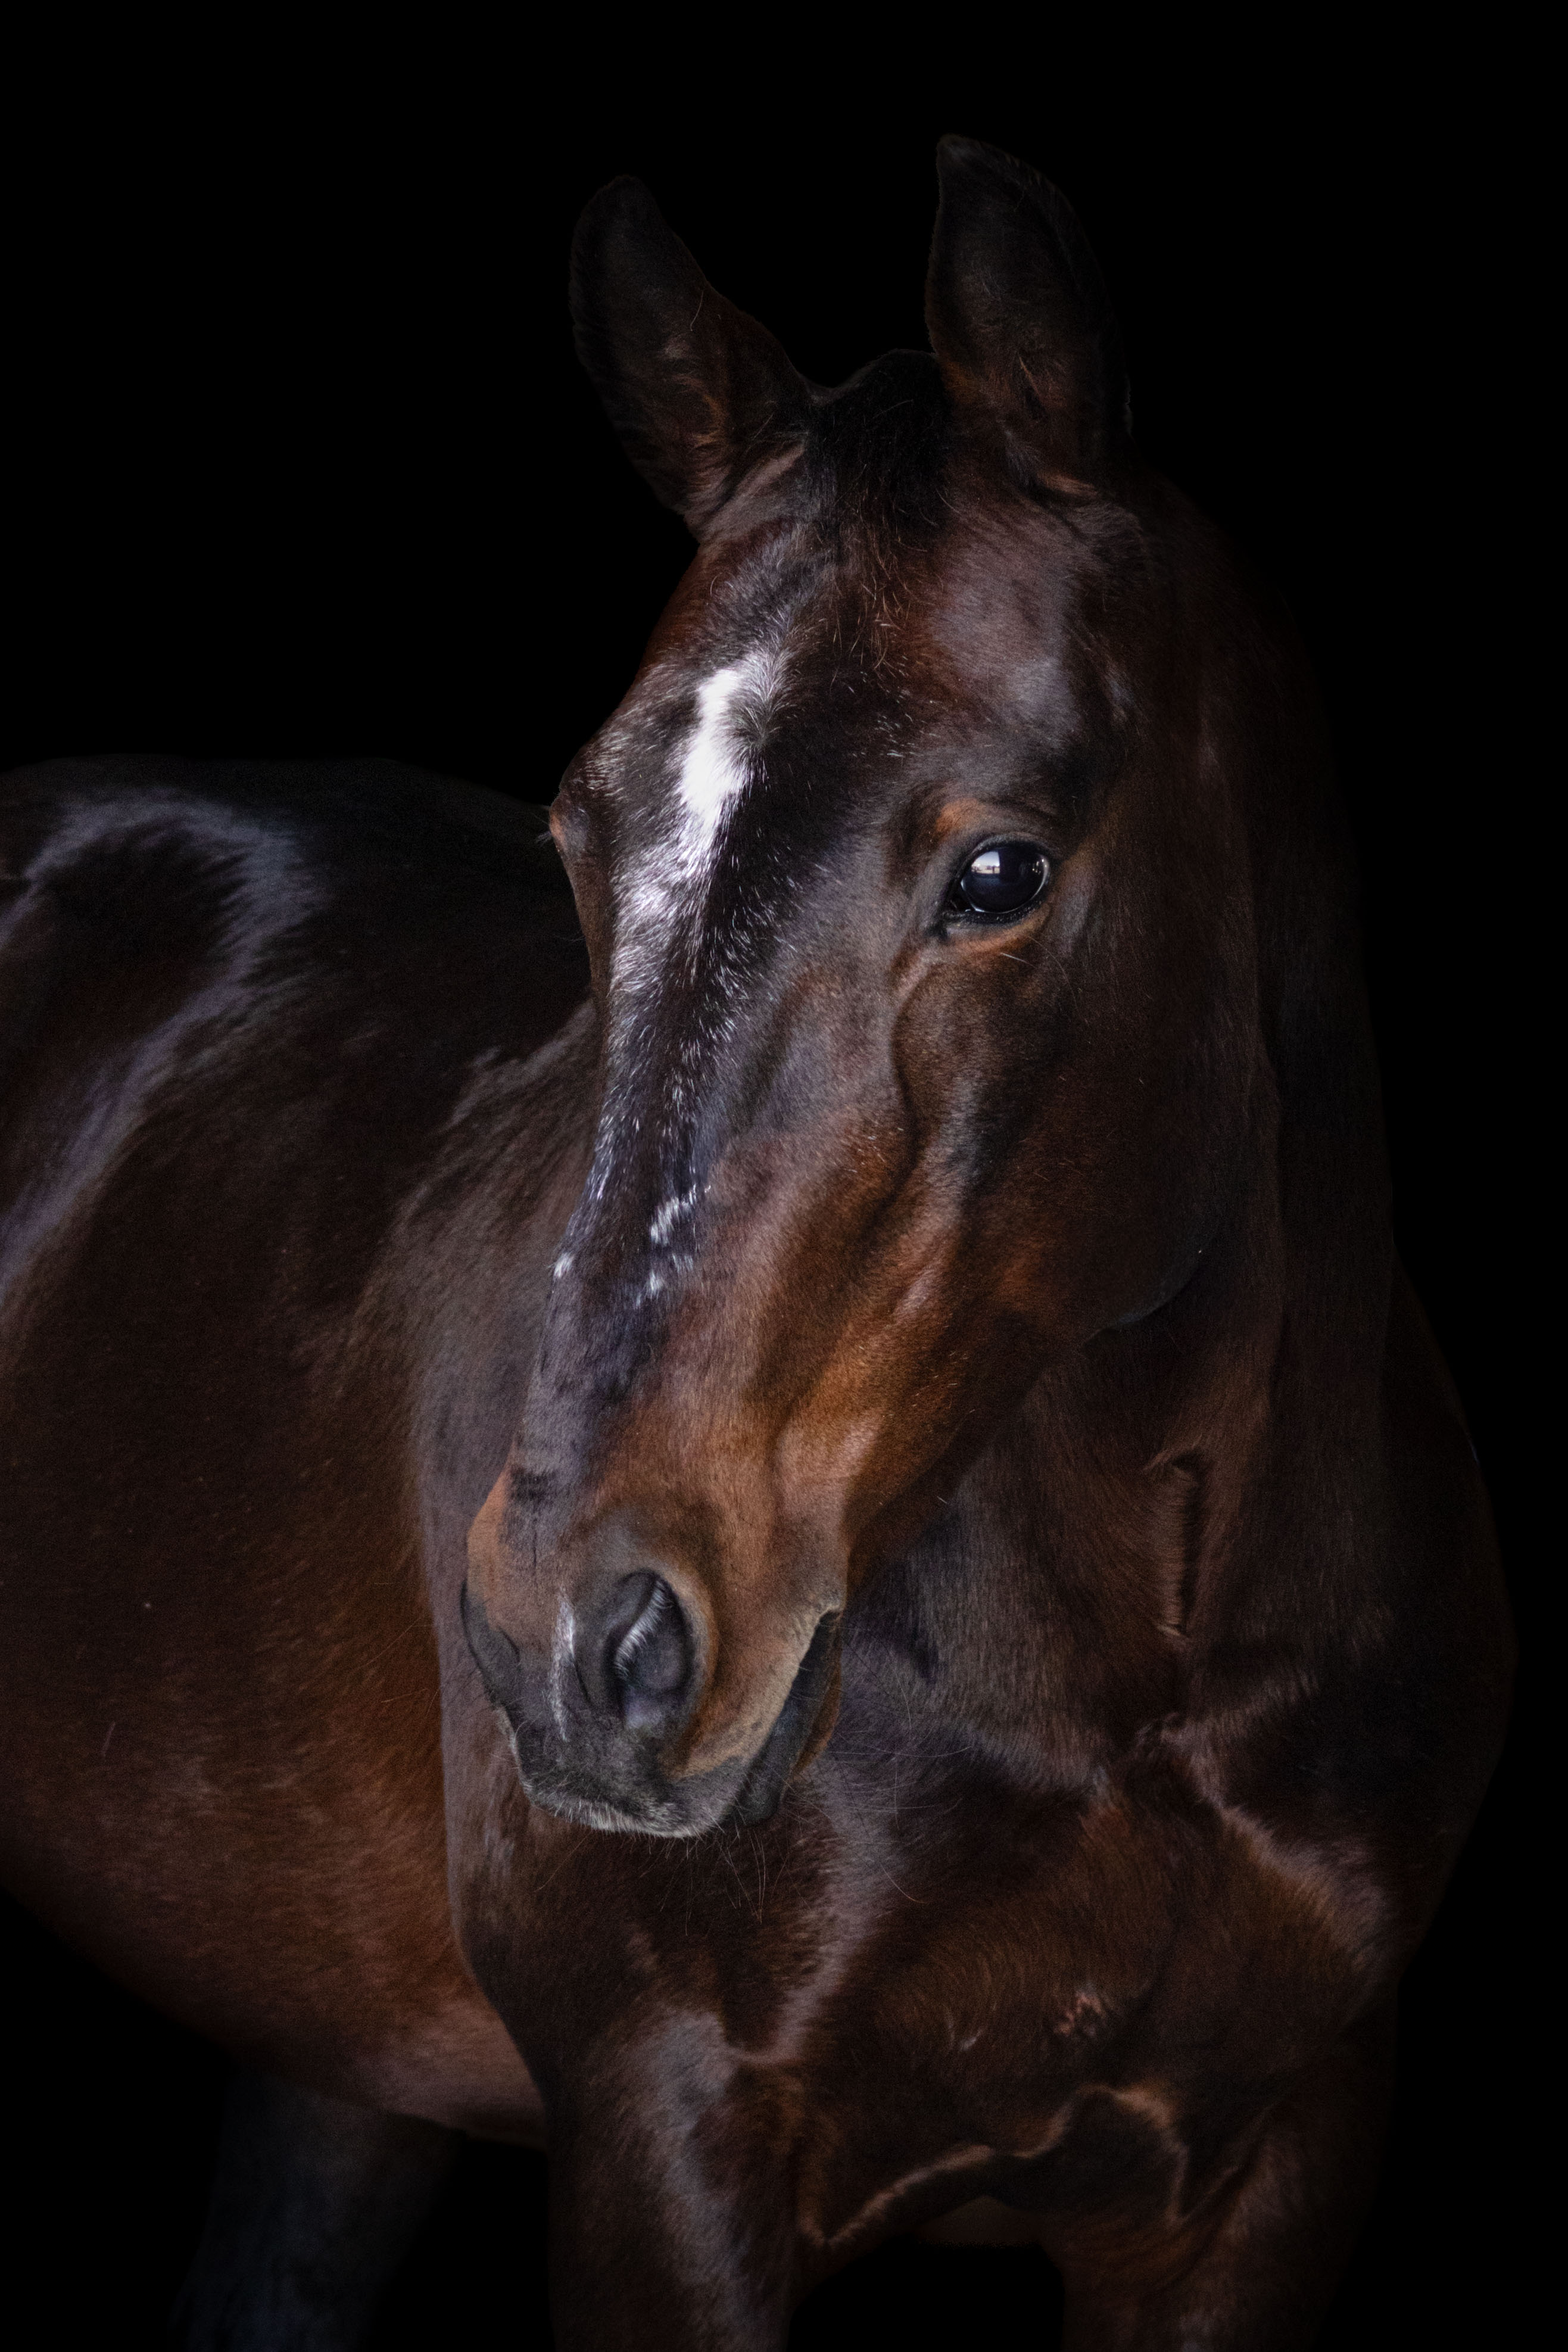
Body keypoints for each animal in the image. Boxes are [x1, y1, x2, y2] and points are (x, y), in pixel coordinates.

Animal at [0, 137, 1511, 2350]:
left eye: (1000, 870)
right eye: (586, 833)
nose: (573, 1645)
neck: (1143, 1676)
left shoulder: (1268, 2175)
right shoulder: (665, 2147)